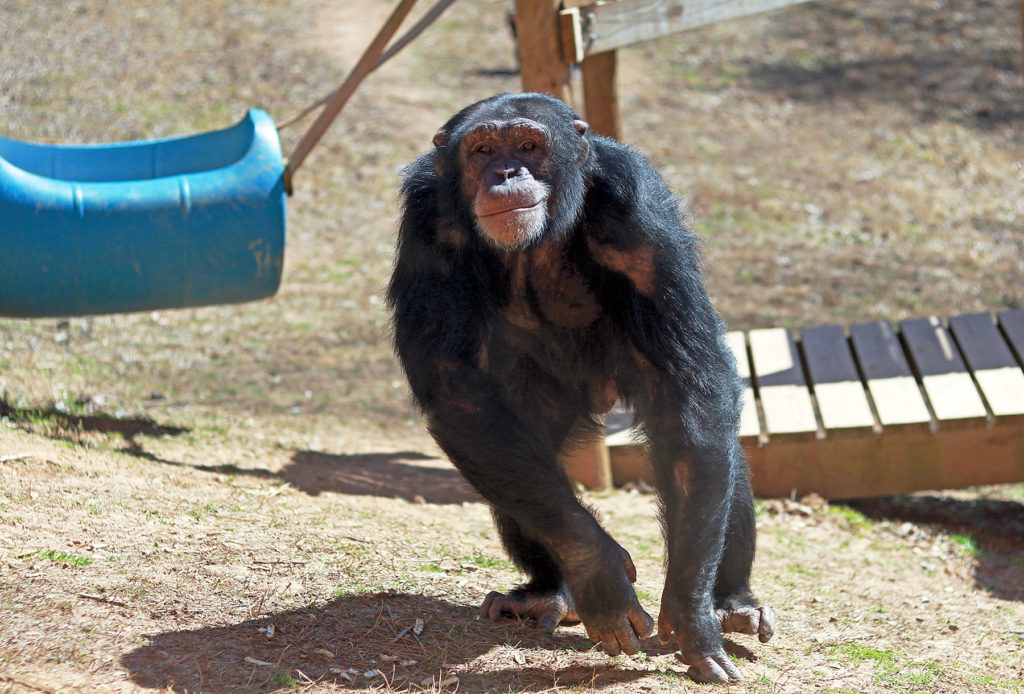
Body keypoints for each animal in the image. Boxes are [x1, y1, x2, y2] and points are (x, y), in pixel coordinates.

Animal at [387, 92, 770, 683]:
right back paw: (548, 594)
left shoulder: (640, 214)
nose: (506, 173)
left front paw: (690, 612)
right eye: (481, 150)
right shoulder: (428, 222)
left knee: (708, 443)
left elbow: (691, 387)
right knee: (518, 461)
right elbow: (460, 395)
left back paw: (731, 604)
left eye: (528, 145)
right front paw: (601, 574)